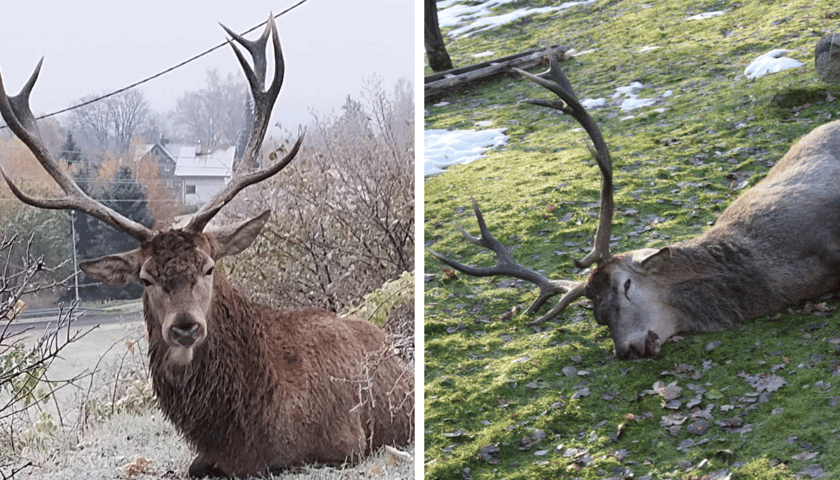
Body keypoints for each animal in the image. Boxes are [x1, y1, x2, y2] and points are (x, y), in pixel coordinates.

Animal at [0, 14, 414, 476]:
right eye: (145, 278)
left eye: (209, 267)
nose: (185, 326)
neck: (242, 428)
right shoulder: (205, 457)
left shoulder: (346, 440)